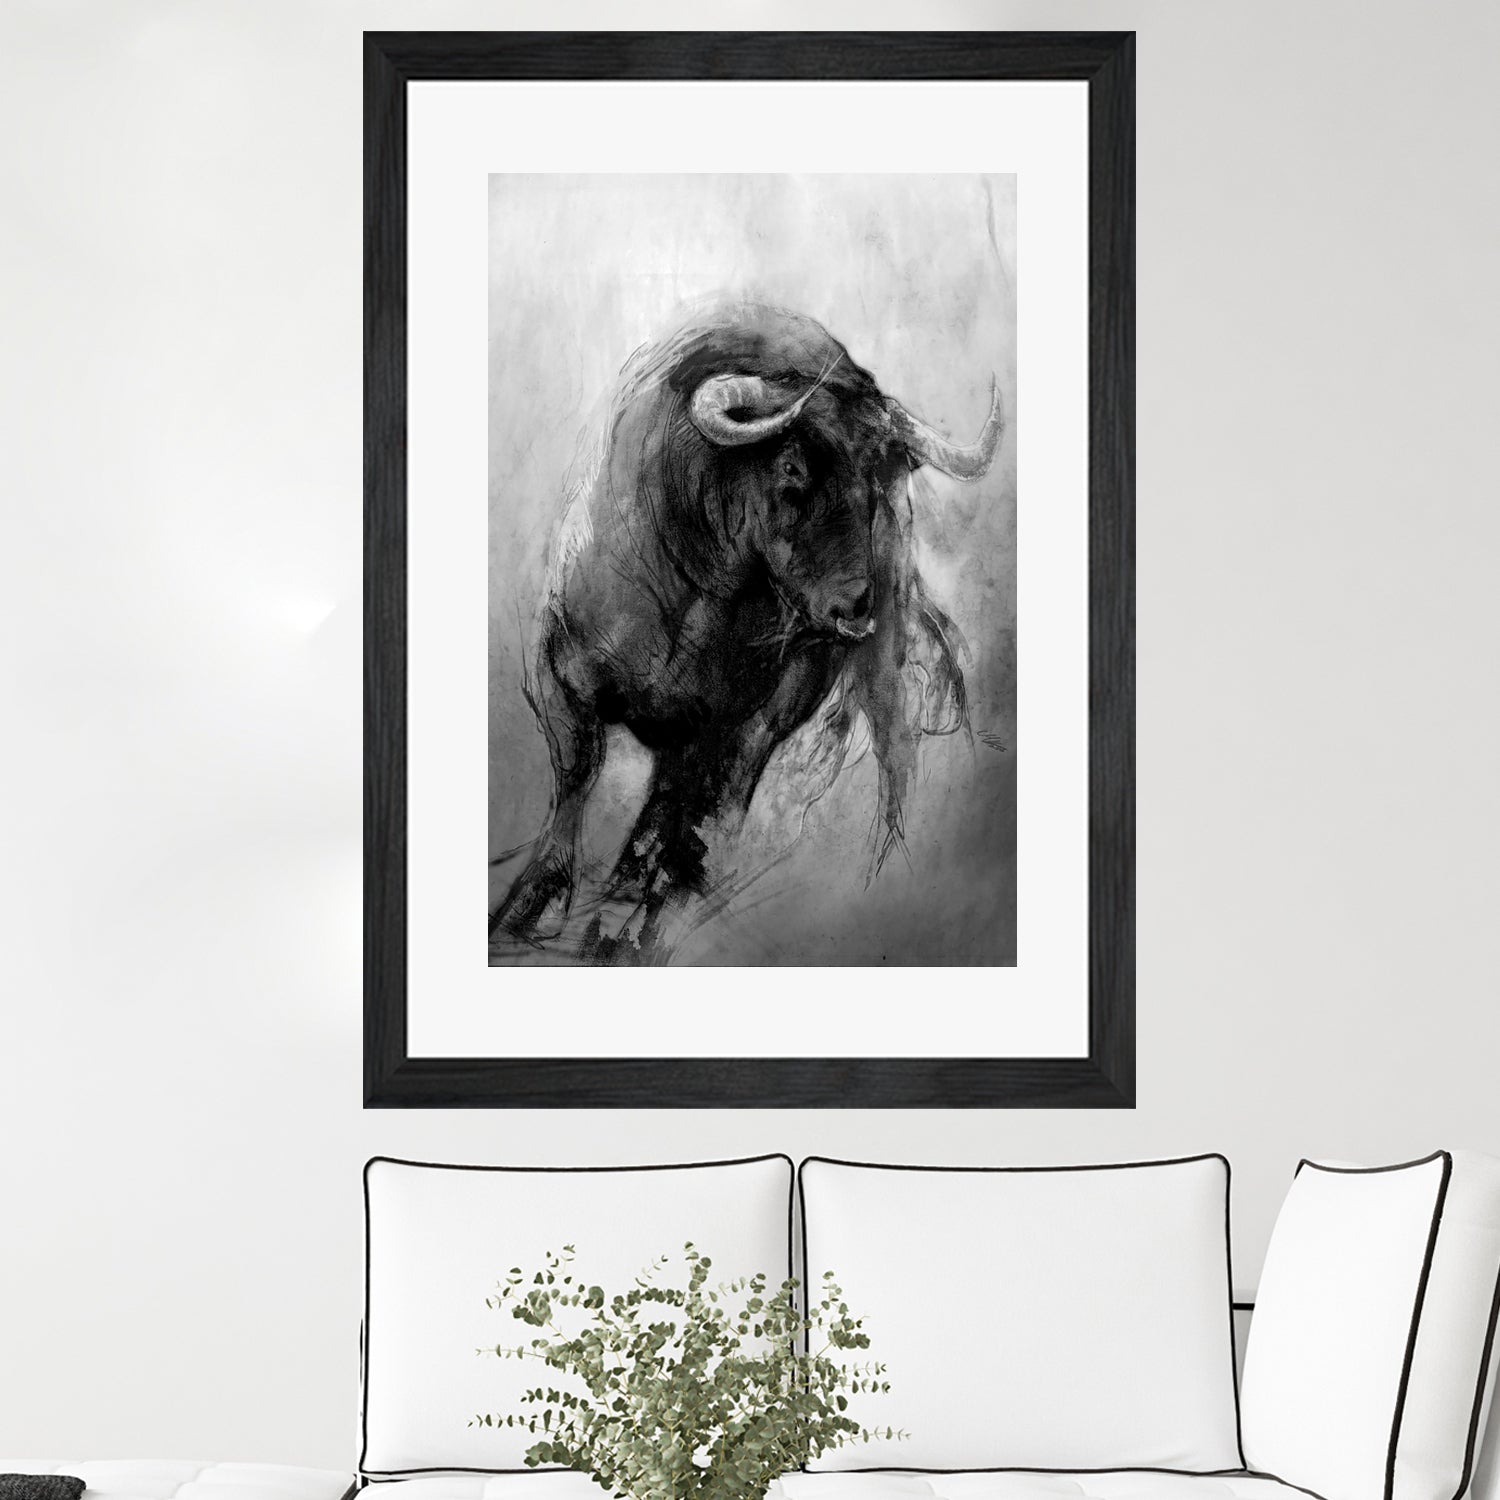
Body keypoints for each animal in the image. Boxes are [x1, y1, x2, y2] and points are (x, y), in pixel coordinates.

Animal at [490, 298, 1004, 960]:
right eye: (790, 467)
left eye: (878, 481)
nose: (854, 611)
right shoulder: (562, 677)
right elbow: (576, 777)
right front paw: (531, 908)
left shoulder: (739, 726)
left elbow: (694, 814)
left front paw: (637, 921)